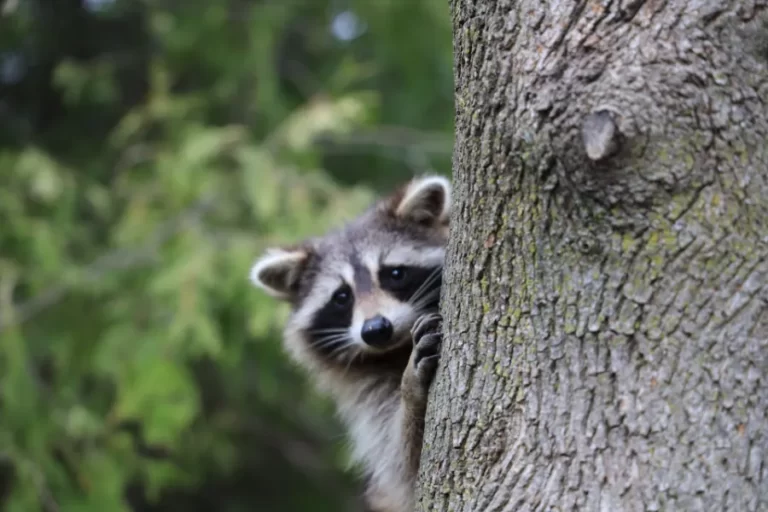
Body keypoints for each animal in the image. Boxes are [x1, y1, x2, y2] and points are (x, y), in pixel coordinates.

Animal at [249, 174, 450, 510]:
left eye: (395, 273)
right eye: (342, 296)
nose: (376, 329)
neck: (396, 350)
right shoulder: (370, 395)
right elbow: (403, 467)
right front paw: (411, 390)